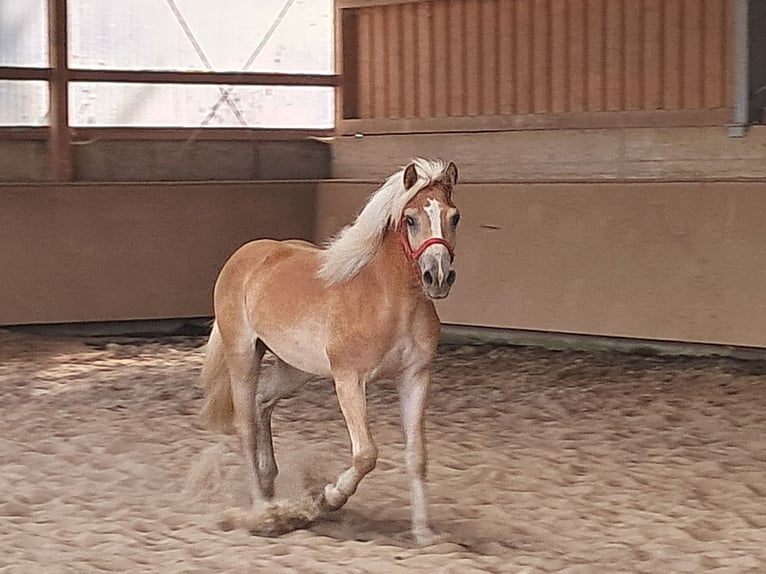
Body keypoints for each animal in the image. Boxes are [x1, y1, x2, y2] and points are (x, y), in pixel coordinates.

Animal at [200, 159, 462, 544]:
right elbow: (366, 454)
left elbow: (417, 456)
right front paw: (326, 499)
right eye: (411, 219)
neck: (388, 299)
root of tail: (244, 257)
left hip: (295, 369)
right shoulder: (349, 379)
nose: (438, 277)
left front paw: (424, 535)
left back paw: (271, 487)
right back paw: (265, 512)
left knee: (263, 402)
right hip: (243, 356)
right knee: (245, 425)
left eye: (453, 217)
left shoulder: (415, 377)